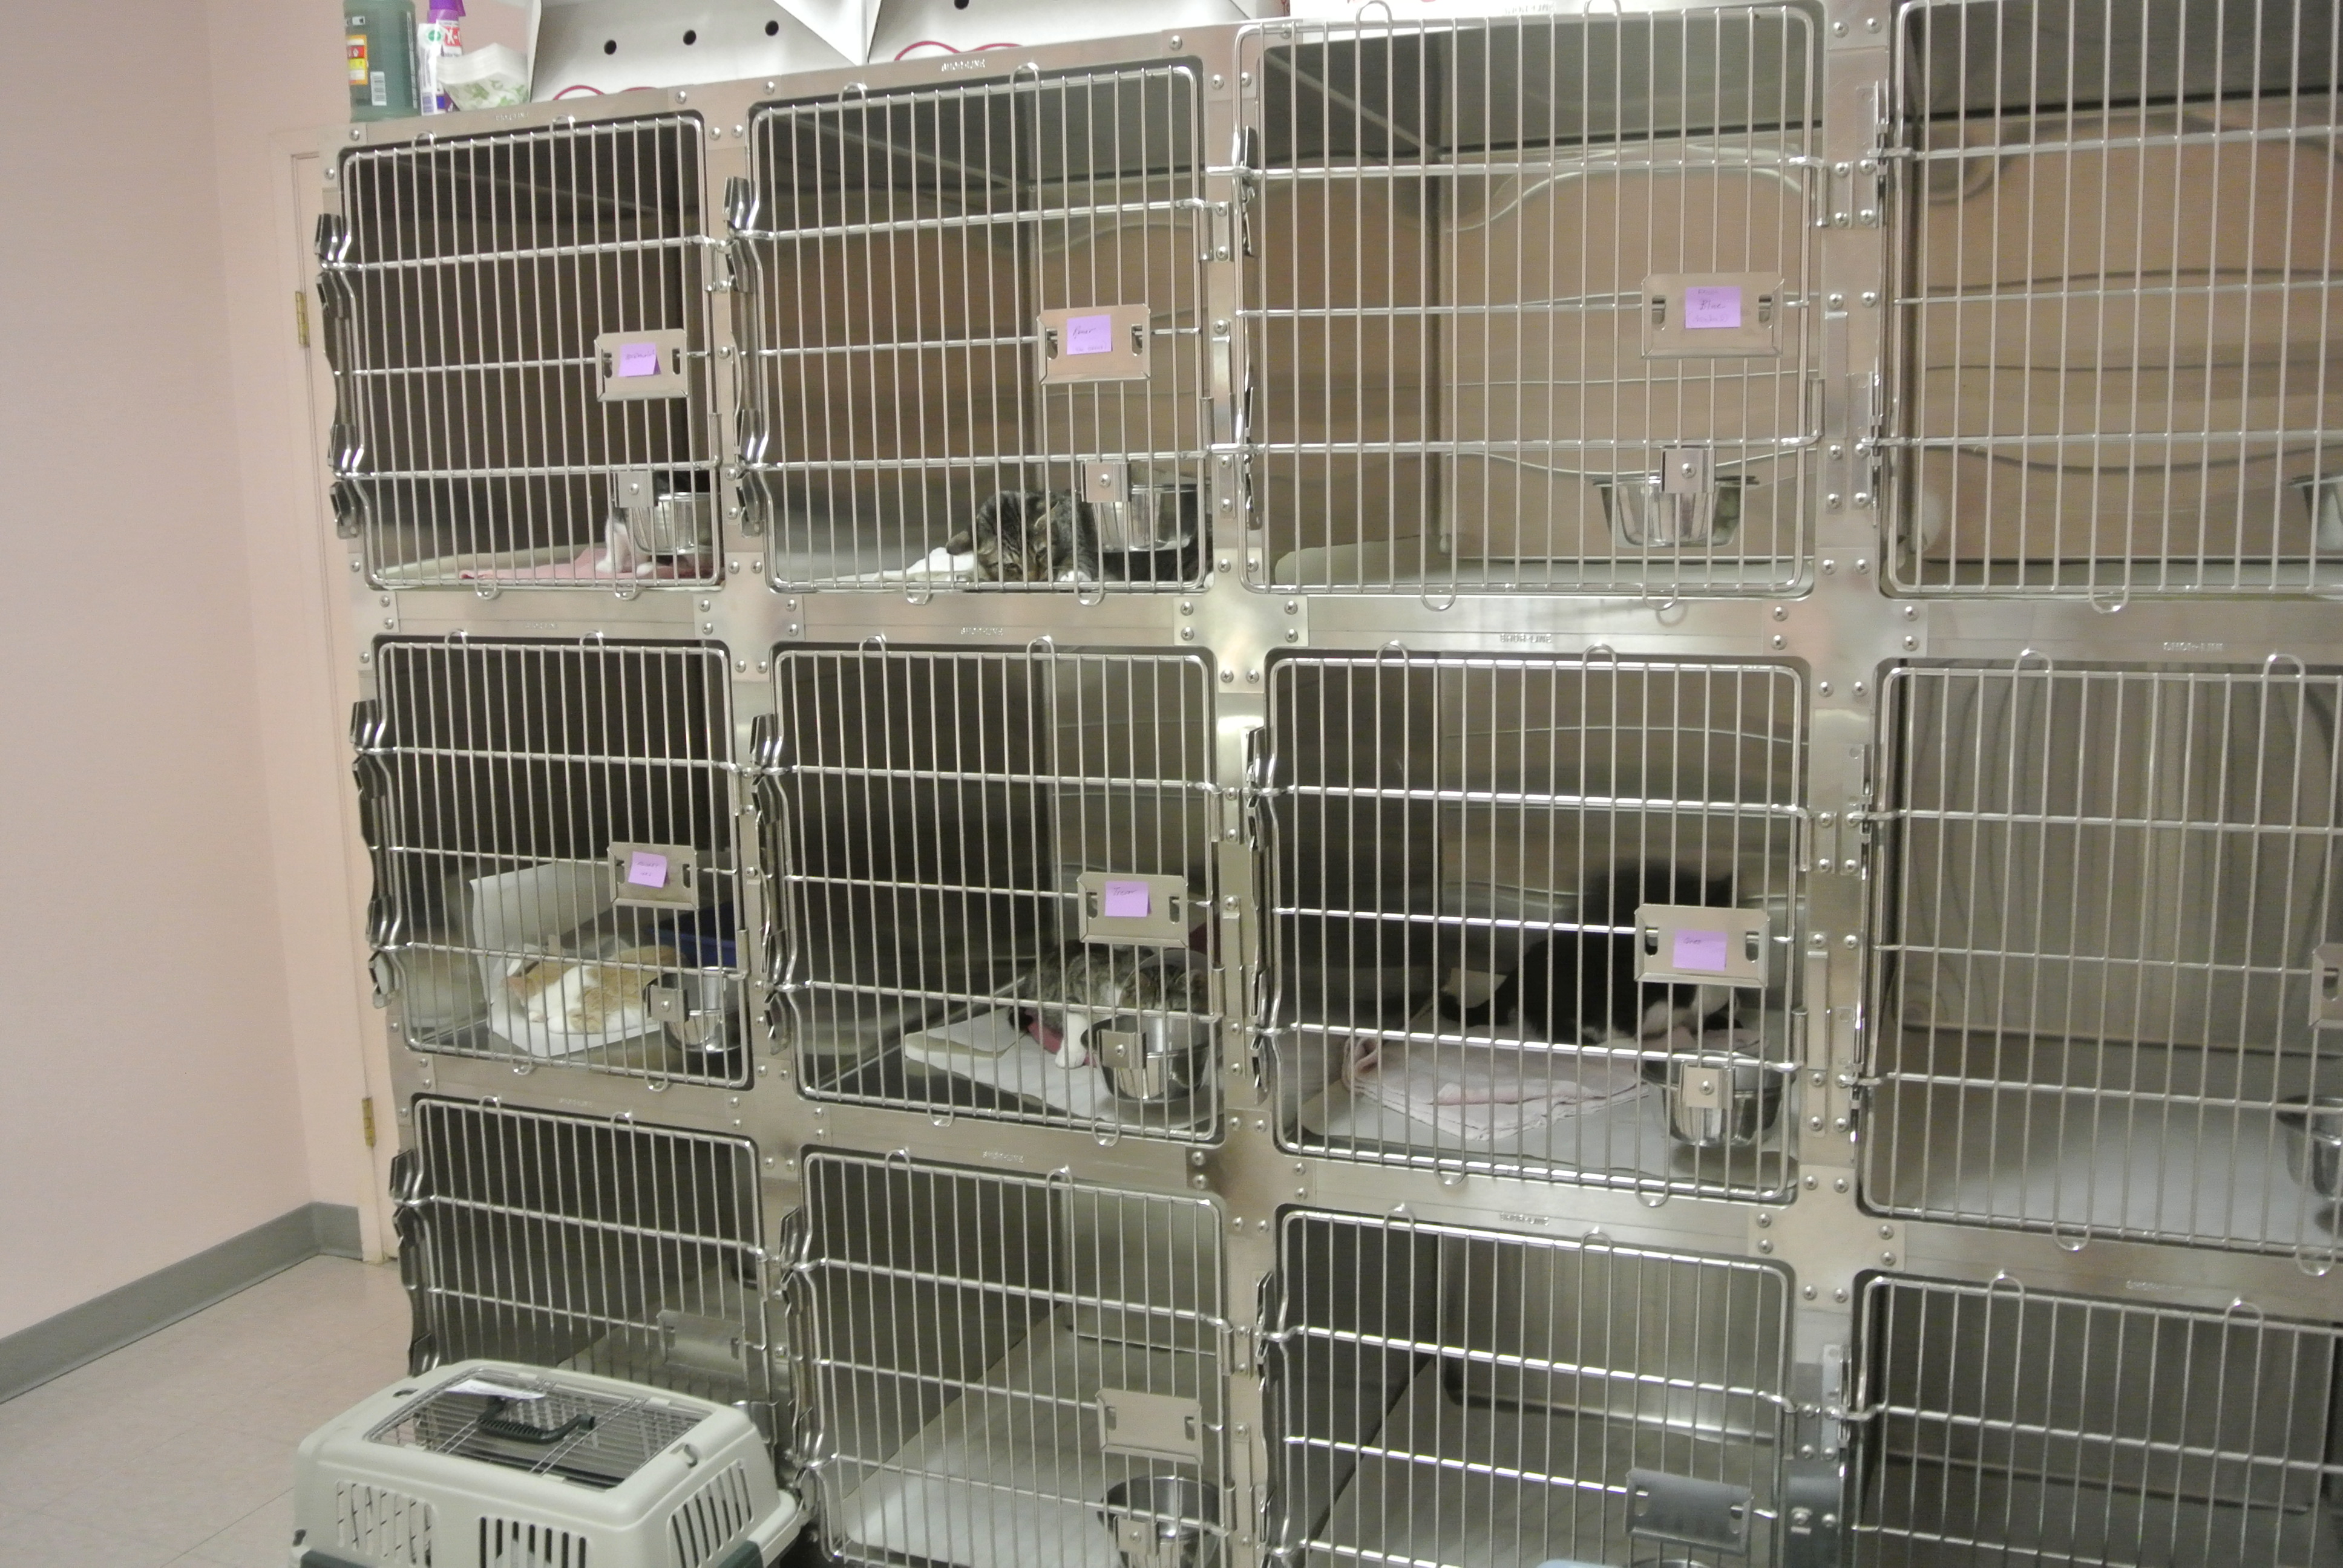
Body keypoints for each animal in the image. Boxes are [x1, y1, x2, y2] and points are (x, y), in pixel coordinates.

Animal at [946, 490, 1101, 584]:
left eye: (1041, 553)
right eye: (1010, 565)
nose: (1034, 579)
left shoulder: (1078, 541)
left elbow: (1078, 557)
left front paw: (1072, 573)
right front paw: (971, 576)